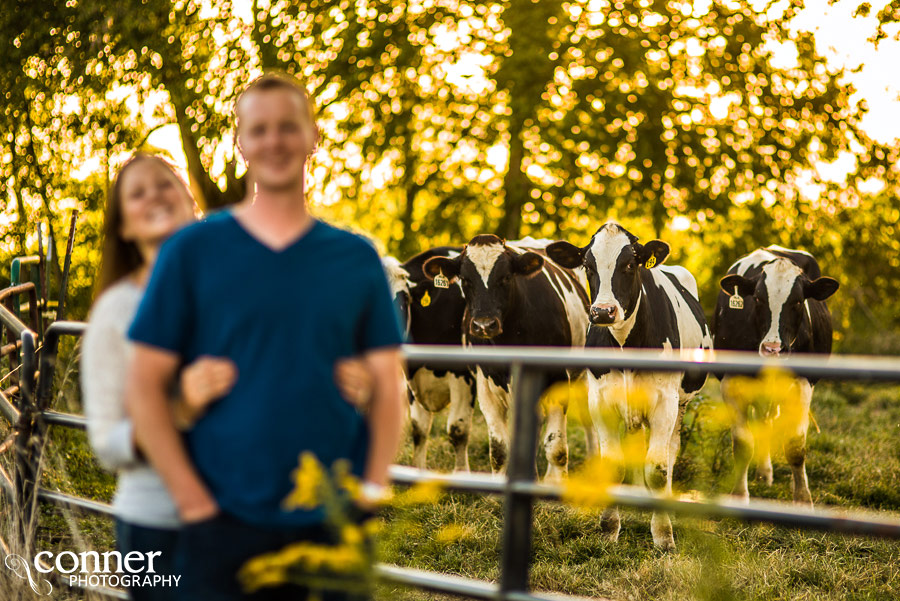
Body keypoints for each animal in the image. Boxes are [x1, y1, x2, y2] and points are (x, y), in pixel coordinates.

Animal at [422, 233, 592, 478]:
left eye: (505, 277)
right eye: (465, 279)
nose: (484, 325)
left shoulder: (558, 378)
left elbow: (557, 448)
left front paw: (554, 481)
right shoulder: (485, 385)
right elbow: (499, 450)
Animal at [544, 220, 712, 548]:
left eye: (630, 264)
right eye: (588, 265)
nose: (603, 312)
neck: (625, 342)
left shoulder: (665, 402)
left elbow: (658, 469)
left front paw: (663, 535)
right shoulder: (601, 401)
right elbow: (614, 466)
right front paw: (609, 529)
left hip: (680, 404)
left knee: (670, 452)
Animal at [712, 246, 840, 504]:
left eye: (798, 301)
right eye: (758, 299)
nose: (773, 348)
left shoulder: (803, 383)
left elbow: (795, 445)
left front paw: (802, 498)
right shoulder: (731, 381)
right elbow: (743, 443)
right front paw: (739, 494)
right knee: (763, 421)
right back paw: (764, 472)